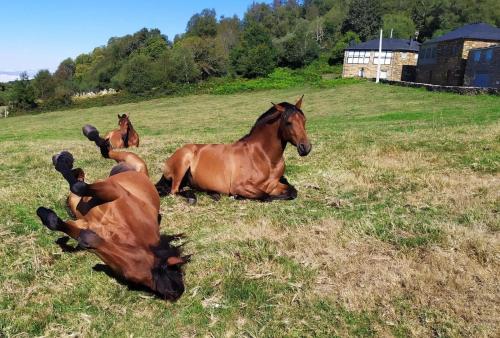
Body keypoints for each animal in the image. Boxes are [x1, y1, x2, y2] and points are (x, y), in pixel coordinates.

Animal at [35, 125, 188, 300]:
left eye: (130, 277)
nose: (87, 240)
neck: (123, 227)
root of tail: (143, 174)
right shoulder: (115, 192)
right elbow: (78, 188)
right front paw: (62, 162)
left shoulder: (85, 224)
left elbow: (60, 218)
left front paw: (45, 214)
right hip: (128, 158)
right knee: (106, 152)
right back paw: (86, 137)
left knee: (86, 171)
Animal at [155, 96, 312, 205]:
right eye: (288, 123)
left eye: (304, 120)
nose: (306, 148)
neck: (263, 157)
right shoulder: (241, 185)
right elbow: (265, 196)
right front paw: (237, 196)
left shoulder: (274, 184)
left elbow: (292, 191)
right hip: (183, 164)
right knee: (174, 191)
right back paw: (193, 198)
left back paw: (212, 193)